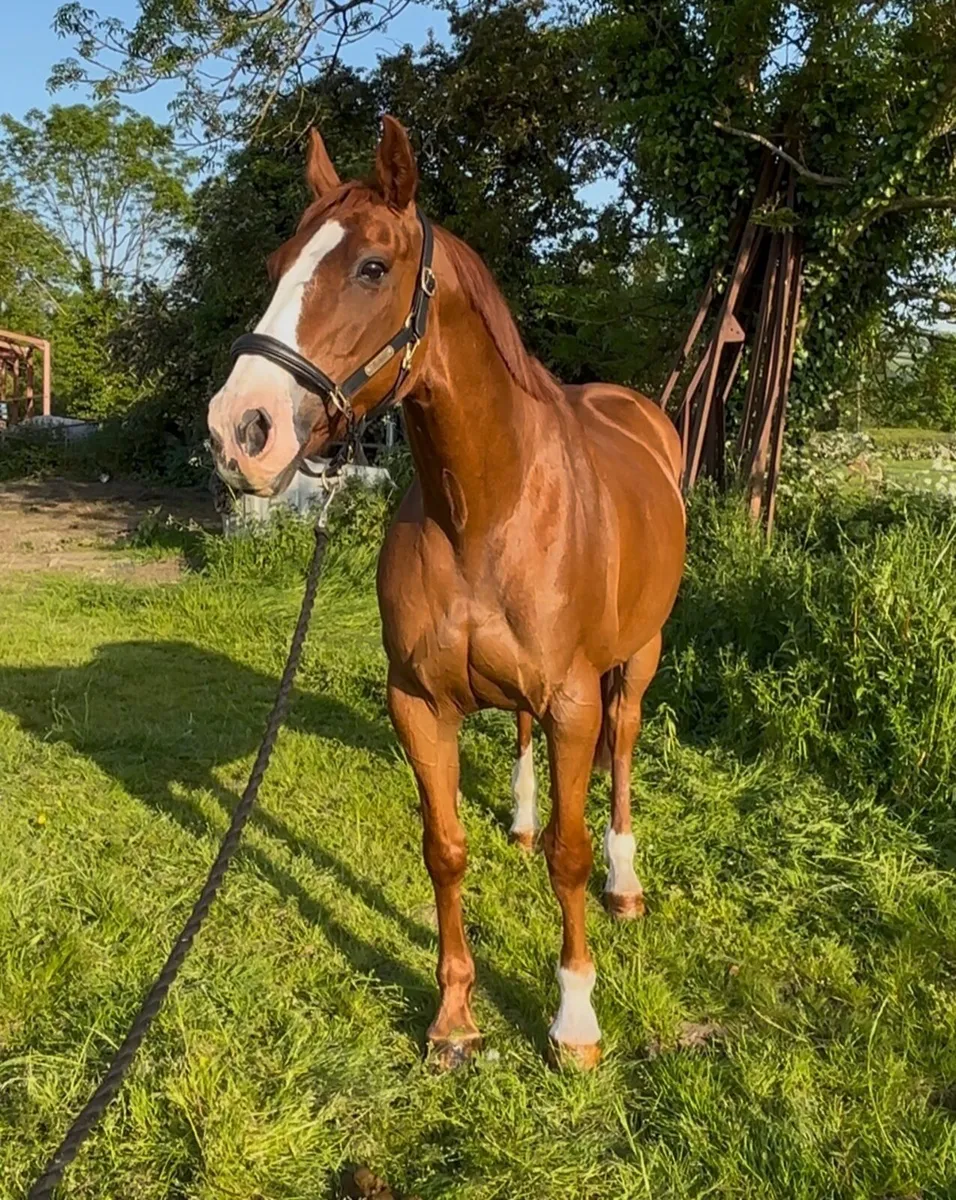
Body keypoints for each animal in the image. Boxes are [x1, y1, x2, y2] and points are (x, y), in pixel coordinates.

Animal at [207, 116, 686, 1070]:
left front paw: (574, 1021)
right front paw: (455, 1015)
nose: (240, 430)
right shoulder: (420, 701)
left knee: (621, 754)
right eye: (277, 263)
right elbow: (444, 849)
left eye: (371, 267)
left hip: (636, 659)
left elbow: (571, 858)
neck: (488, 506)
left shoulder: (574, 697)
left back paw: (626, 884)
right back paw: (522, 821)